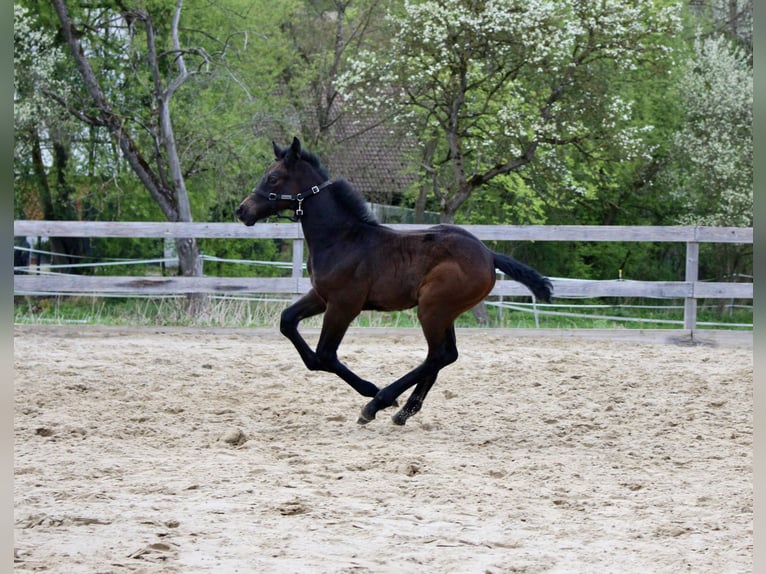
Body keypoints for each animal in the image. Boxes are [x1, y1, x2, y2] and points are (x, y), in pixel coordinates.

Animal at [236, 137, 553, 426]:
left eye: (273, 178)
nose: (242, 210)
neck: (341, 239)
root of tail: (489, 254)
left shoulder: (344, 305)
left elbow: (325, 355)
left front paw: (369, 390)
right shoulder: (321, 296)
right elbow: (288, 322)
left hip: (432, 309)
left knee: (440, 355)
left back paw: (379, 403)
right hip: (443, 312)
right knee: (442, 355)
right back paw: (404, 411)